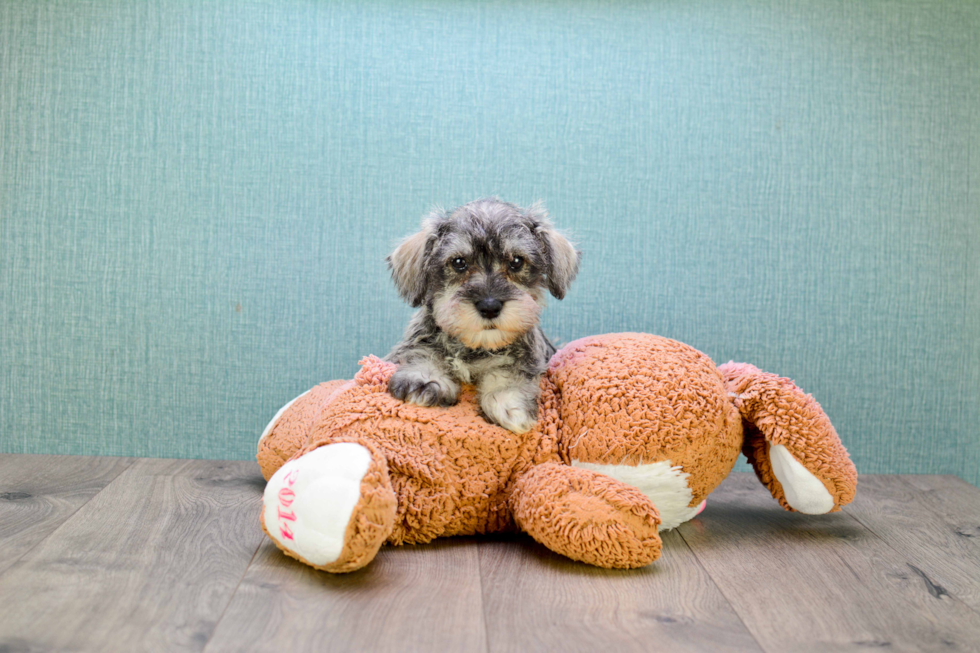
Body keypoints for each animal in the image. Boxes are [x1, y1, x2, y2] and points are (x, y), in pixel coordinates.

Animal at [384, 199, 580, 432]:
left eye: (517, 261)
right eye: (459, 262)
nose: (489, 306)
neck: (475, 346)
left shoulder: (525, 359)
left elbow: (508, 373)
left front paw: (509, 404)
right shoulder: (419, 342)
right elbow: (422, 353)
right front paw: (424, 381)